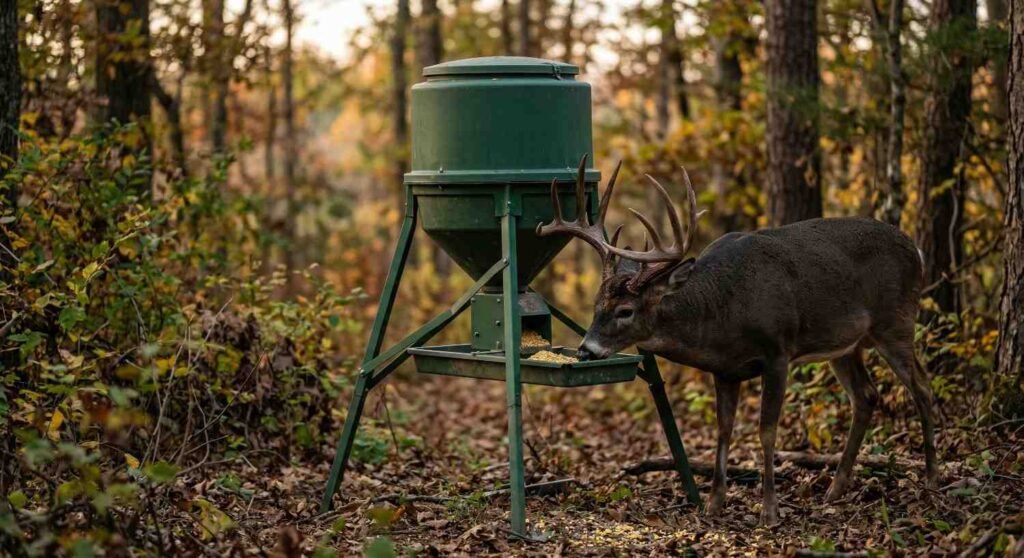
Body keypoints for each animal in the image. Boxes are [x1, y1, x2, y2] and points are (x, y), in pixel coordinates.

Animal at [537, 156, 938, 526]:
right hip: (846, 344)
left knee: (921, 386)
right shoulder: (725, 371)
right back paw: (835, 490)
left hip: (896, 321)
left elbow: (766, 431)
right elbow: (724, 430)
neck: (723, 311)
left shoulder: (778, 351)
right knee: (866, 396)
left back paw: (931, 479)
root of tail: (917, 250)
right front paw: (714, 505)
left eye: (625, 311)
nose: (586, 350)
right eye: (597, 305)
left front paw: (769, 512)